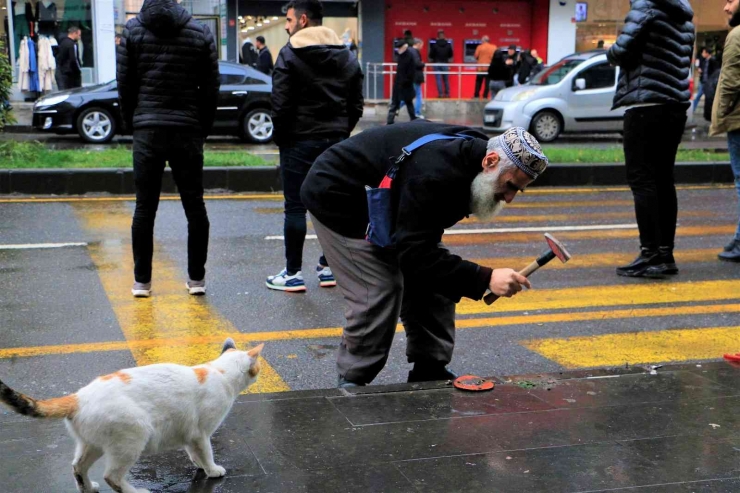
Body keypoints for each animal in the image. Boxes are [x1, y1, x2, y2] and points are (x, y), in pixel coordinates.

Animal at [0, 338, 264, 492]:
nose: (259, 371)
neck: (218, 372)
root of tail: (78, 396)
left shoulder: (190, 433)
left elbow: (193, 452)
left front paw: (198, 464)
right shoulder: (201, 432)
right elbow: (207, 452)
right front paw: (212, 470)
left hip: (92, 444)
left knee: (77, 467)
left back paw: (88, 488)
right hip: (133, 437)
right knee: (112, 477)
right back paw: (135, 492)